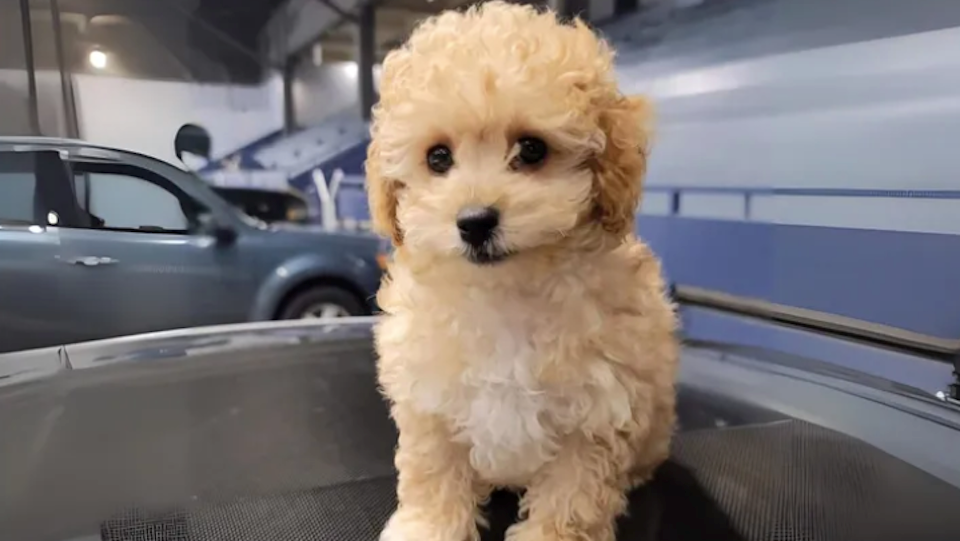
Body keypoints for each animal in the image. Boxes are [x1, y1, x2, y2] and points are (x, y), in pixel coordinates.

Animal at [364, 2, 680, 536]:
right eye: (438, 157)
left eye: (532, 149)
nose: (475, 221)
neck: (504, 293)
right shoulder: (430, 402)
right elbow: (434, 471)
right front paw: (428, 527)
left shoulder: (597, 414)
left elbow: (572, 499)